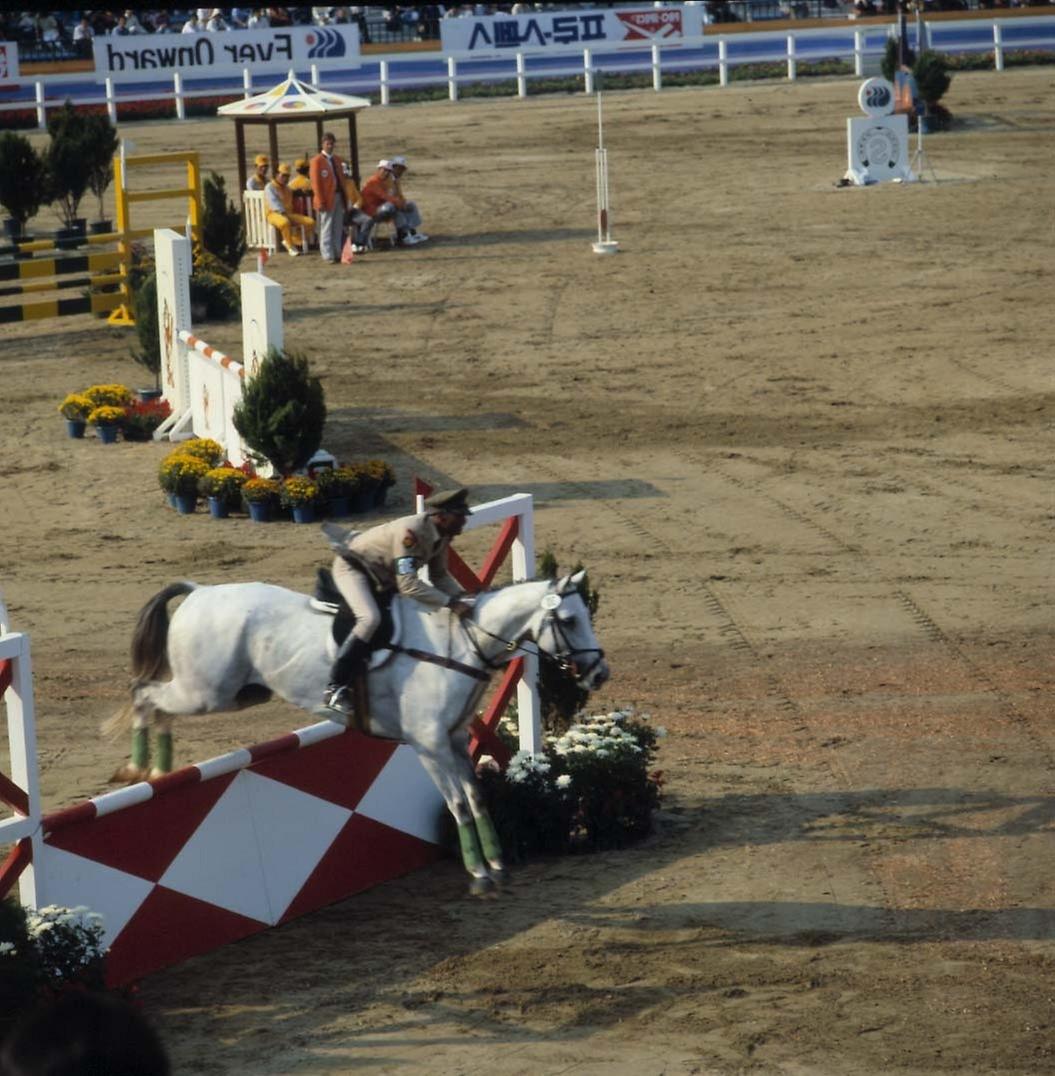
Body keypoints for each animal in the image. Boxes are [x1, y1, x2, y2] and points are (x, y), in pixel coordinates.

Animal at [110, 572, 607, 890]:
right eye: (568, 620)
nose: (600, 674)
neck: (460, 645)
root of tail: (199, 592)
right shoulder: (428, 746)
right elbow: (457, 804)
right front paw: (478, 872)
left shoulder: (453, 740)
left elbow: (476, 797)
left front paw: (498, 862)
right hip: (204, 691)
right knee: (144, 692)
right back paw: (140, 768)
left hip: (236, 692)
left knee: (154, 699)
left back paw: (159, 770)